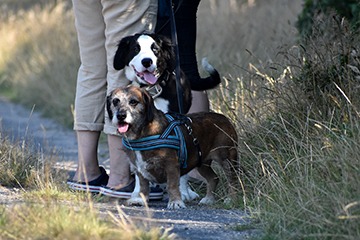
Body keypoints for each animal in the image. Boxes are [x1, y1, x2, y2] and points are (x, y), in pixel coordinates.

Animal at [105, 86, 238, 208]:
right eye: (115, 101)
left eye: (133, 101)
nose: (121, 115)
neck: (142, 133)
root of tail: (225, 118)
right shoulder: (140, 170)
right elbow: (143, 187)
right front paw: (140, 200)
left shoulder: (171, 166)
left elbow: (172, 185)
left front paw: (175, 202)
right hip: (202, 163)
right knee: (213, 178)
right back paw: (209, 199)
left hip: (227, 160)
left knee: (233, 179)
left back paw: (231, 199)